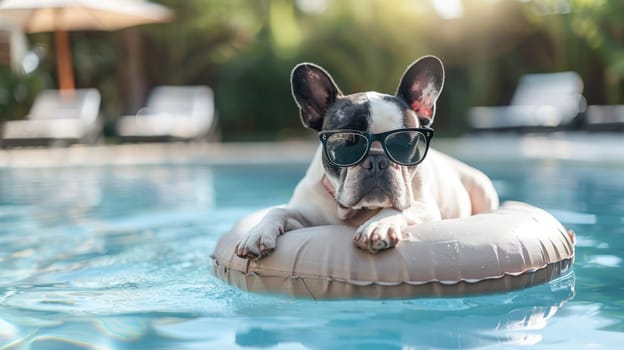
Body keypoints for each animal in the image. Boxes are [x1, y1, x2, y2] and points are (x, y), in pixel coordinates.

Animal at [236, 54, 500, 258]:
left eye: (405, 143)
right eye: (346, 143)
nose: (376, 160)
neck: (356, 213)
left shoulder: (425, 207)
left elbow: (400, 209)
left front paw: (377, 226)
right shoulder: (305, 213)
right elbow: (277, 210)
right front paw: (256, 234)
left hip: (481, 186)